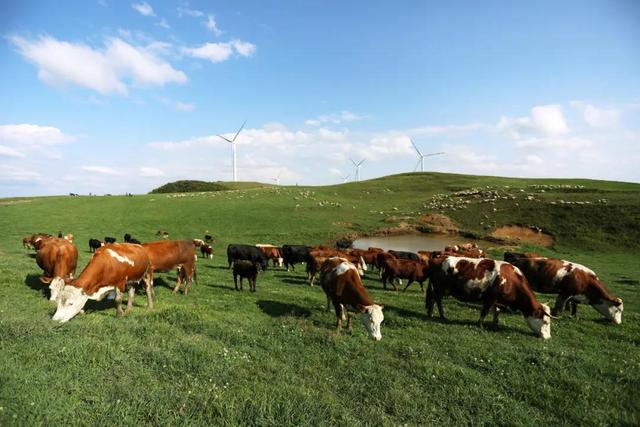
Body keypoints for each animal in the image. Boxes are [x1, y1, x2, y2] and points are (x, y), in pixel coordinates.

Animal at [424, 256, 556, 340]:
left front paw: (495, 324)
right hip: (439, 288)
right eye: (545, 321)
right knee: (437, 300)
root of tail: (437, 258)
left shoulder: (498, 301)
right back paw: (440, 316)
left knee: (433, 300)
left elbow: (496, 312)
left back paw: (432, 314)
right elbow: (485, 312)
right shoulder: (490, 298)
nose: (548, 337)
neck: (512, 280)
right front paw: (481, 325)